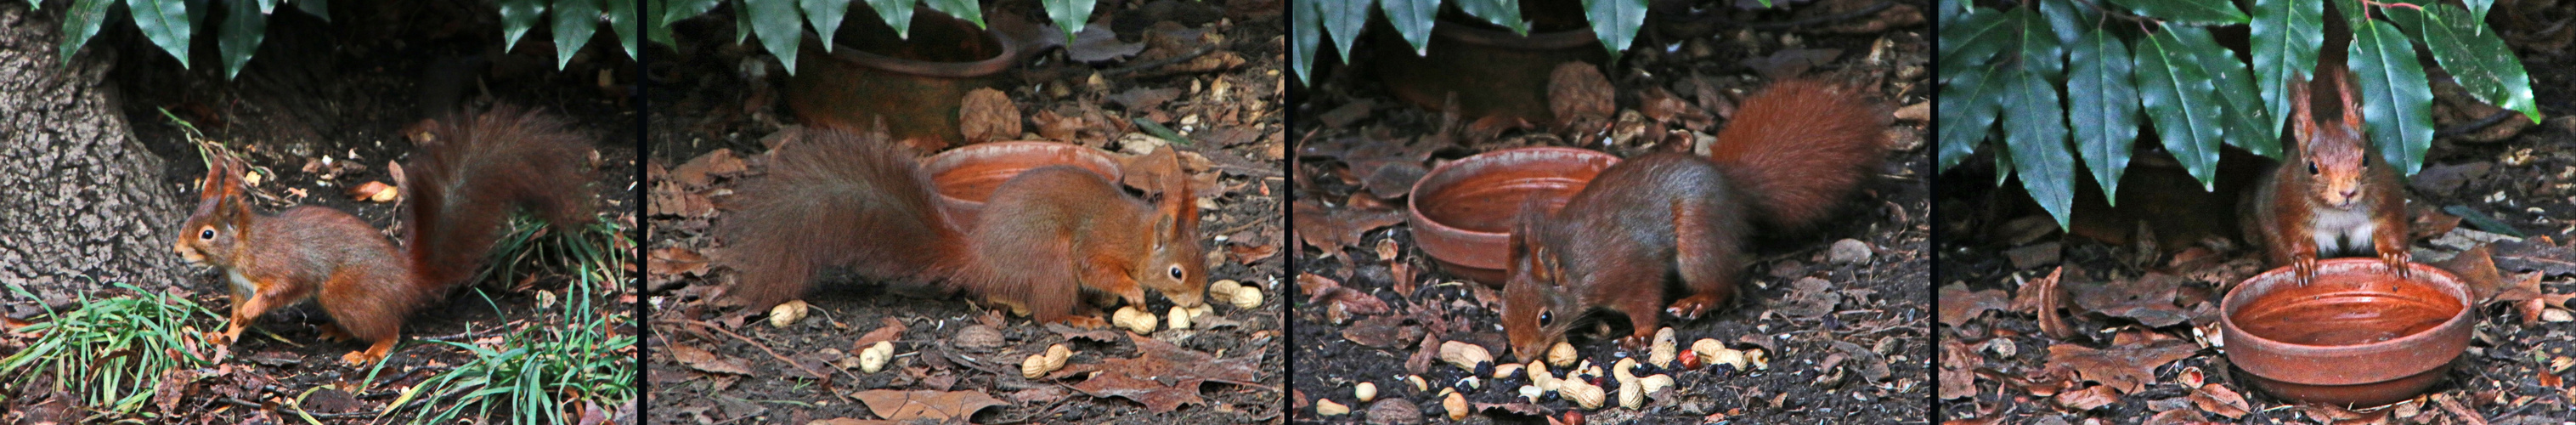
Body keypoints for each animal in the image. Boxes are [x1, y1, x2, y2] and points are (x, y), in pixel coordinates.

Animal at [175, 106, 592, 366]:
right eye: (186, 222)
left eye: (207, 234)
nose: (178, 253)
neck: (244, 250)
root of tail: (410, 281)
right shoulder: (238, 285)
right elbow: (236, 317)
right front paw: (224, 335)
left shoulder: (283, 266)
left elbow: (282, 289)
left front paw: (251, 312)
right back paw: (338, 333)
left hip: (343, 292)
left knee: (390, 328)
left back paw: (371, 352)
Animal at [715, 129, 1205, 326]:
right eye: (1177, 272)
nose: (1199, 300)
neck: (1137, 235)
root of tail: (978, 258)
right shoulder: (1097, 245)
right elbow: (1099, 269)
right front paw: (1132, 291)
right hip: (1049, 261)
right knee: (1048, 313)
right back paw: (1080, 319)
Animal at [1494, 78, 1895, 358]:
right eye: (1502, 314)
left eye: (1545, 318)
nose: (1522, 355)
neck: (1575, 266)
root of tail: (1733, 186)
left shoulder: (1631, 270)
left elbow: (1645, 301)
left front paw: (1640, 335)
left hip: (1698, 241)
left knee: (1724, 284)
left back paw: (1696, 302)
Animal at [2246, 67, 2400, 286]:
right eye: (2312, 167)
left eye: (2366, 159)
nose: (2347, 192)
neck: (2340, 214)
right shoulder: (2289, 207)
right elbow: (2295, 236)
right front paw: (2303, 260)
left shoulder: (2385, 199)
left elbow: (2390, 228)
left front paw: (2395, 255)